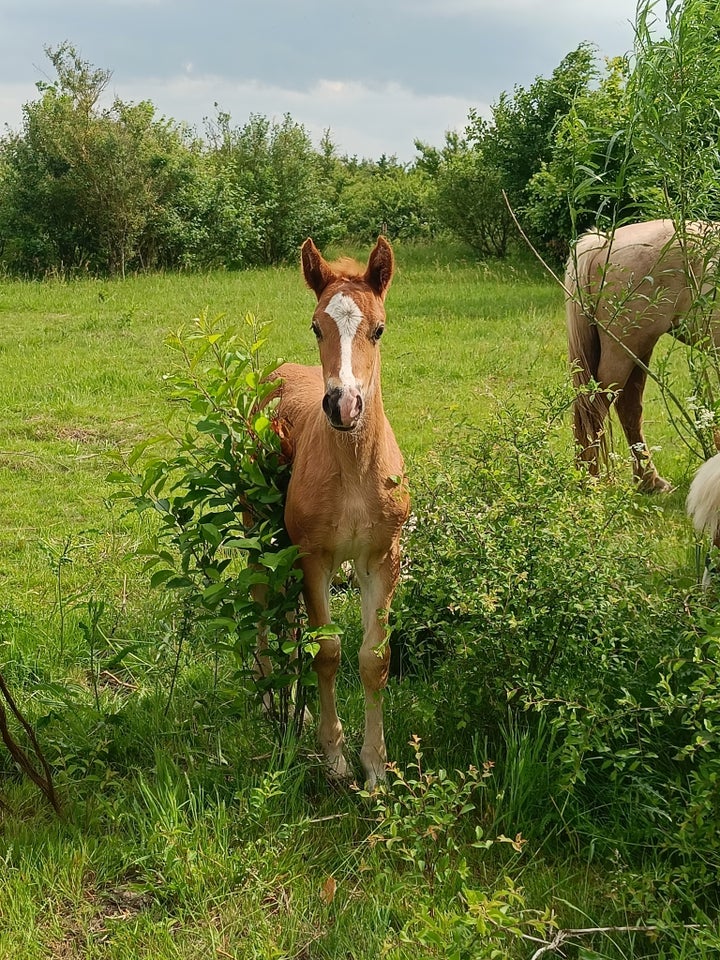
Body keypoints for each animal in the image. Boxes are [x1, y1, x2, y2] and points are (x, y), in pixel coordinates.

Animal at [270, 236, 408, 784]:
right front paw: (334, 756)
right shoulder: (313, 559)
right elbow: (326, 652)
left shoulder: (382, 559)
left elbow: (375, 658)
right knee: (268, 611)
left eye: (379, 328)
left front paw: (376, 766)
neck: (352, 471)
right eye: (316, 326)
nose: (343, 405)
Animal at [564, 217, 716, 488]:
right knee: (596, 407)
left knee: (628, 407)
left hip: (638, 349)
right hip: (623, 350)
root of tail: (603, 243)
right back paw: (590, 481)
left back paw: (649, 480)